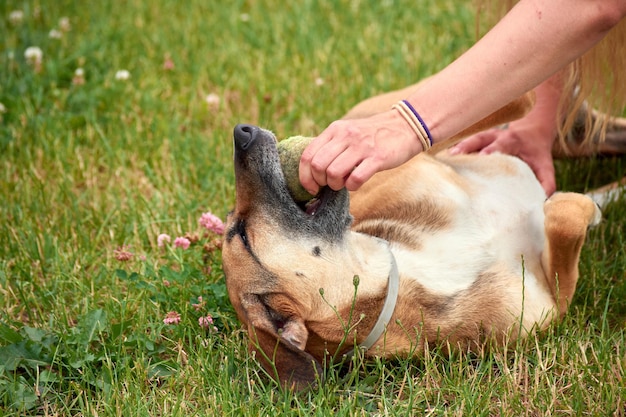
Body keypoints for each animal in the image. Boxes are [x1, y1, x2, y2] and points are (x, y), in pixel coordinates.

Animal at [219, 94, 600, 386]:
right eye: (243, 235)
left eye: (236, 228)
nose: (240, 132)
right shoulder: (551, 307)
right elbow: (565, 217)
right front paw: (581, 206)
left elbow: (514, 102)